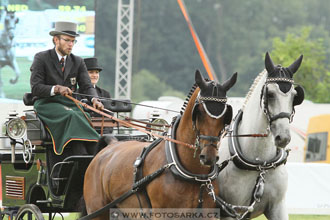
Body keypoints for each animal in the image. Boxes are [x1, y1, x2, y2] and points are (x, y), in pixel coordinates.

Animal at [82, 70, 237, 218]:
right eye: (199, 112)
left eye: (226, 116)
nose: (209, 156)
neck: (192, 174)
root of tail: (111, 144)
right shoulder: (162, 214)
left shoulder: (208, 213)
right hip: (98, 211)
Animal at [217, 52, 304, 219]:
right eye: (270, 94)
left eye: (294, 96)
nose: (283, 137)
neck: (260, 164)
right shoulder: (230, 211)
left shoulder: (278, 207)